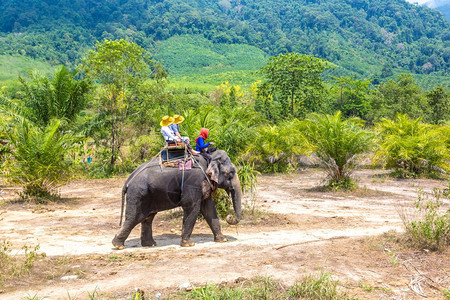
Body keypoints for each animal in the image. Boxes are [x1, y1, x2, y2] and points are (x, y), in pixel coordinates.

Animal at [110, 148, 241, 248]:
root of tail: (128, 180)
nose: (229, 217)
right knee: (134, 217)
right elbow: (192, 206)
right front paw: (189, 244)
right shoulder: (193, 182)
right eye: (230, 173)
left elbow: (208, 208)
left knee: (148, 217)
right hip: (137, 194)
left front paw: (223, 240)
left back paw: (150, 245)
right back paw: (118, 245)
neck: (209, 157)